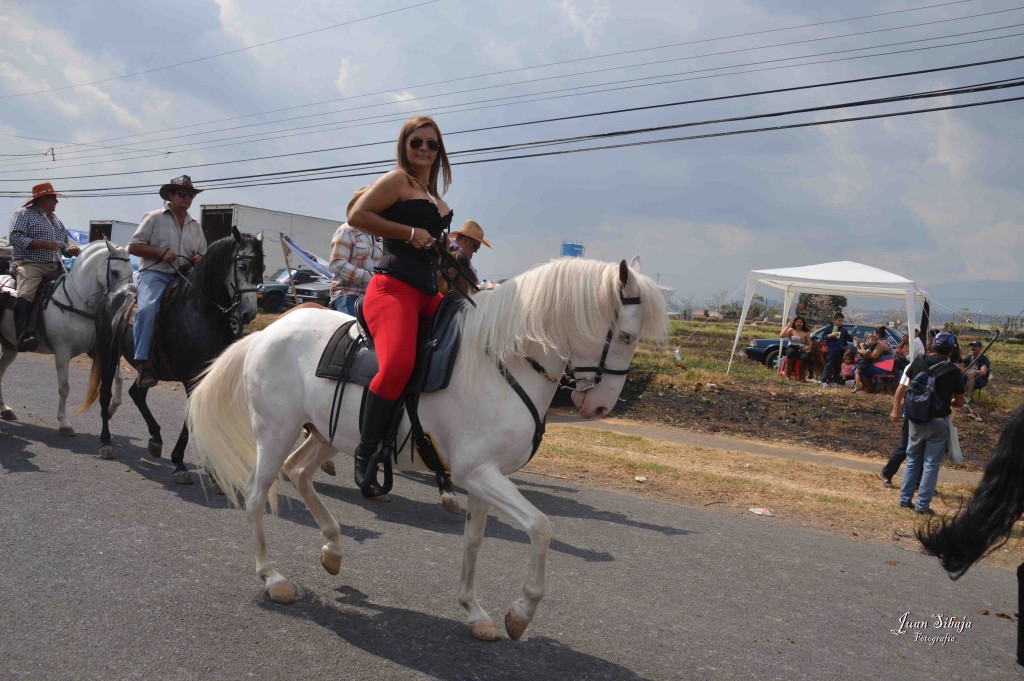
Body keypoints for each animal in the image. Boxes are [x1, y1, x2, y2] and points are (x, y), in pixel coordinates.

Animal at [0, 240, 134, 436]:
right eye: (115, 272)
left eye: (131, 273)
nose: (124, 302)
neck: (78, 302)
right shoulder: (62, 353)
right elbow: (64, 388)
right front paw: (64, 423)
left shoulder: (97, 351)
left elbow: (119, 377)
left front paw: (109, 410)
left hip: (10, 347)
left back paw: (5, 409)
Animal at [80, 228, 264, 483]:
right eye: (243, 266)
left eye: (262, 268)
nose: (248, 313)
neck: (202, 313)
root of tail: (113, 293)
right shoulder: (192, 379)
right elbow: (190, 417)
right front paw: (180, 463)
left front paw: (212, 473)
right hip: (108, 355)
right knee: (106, 394)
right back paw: (106, 443)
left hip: (146, 370)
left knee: (137, 393)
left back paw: (155, 439)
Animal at [188, 258, 667, 639]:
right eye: (626, 336)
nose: (601, 406)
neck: (504, 363)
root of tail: (267, 332)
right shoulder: (478, 473)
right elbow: (540, 527)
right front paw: (521, 612)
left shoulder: (485, 478)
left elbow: (474, 540)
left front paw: (474, 611)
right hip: (276, 431)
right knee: (257, 494)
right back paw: (273, 578)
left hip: (327, 435)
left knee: (300, 472)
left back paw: (333, 548)